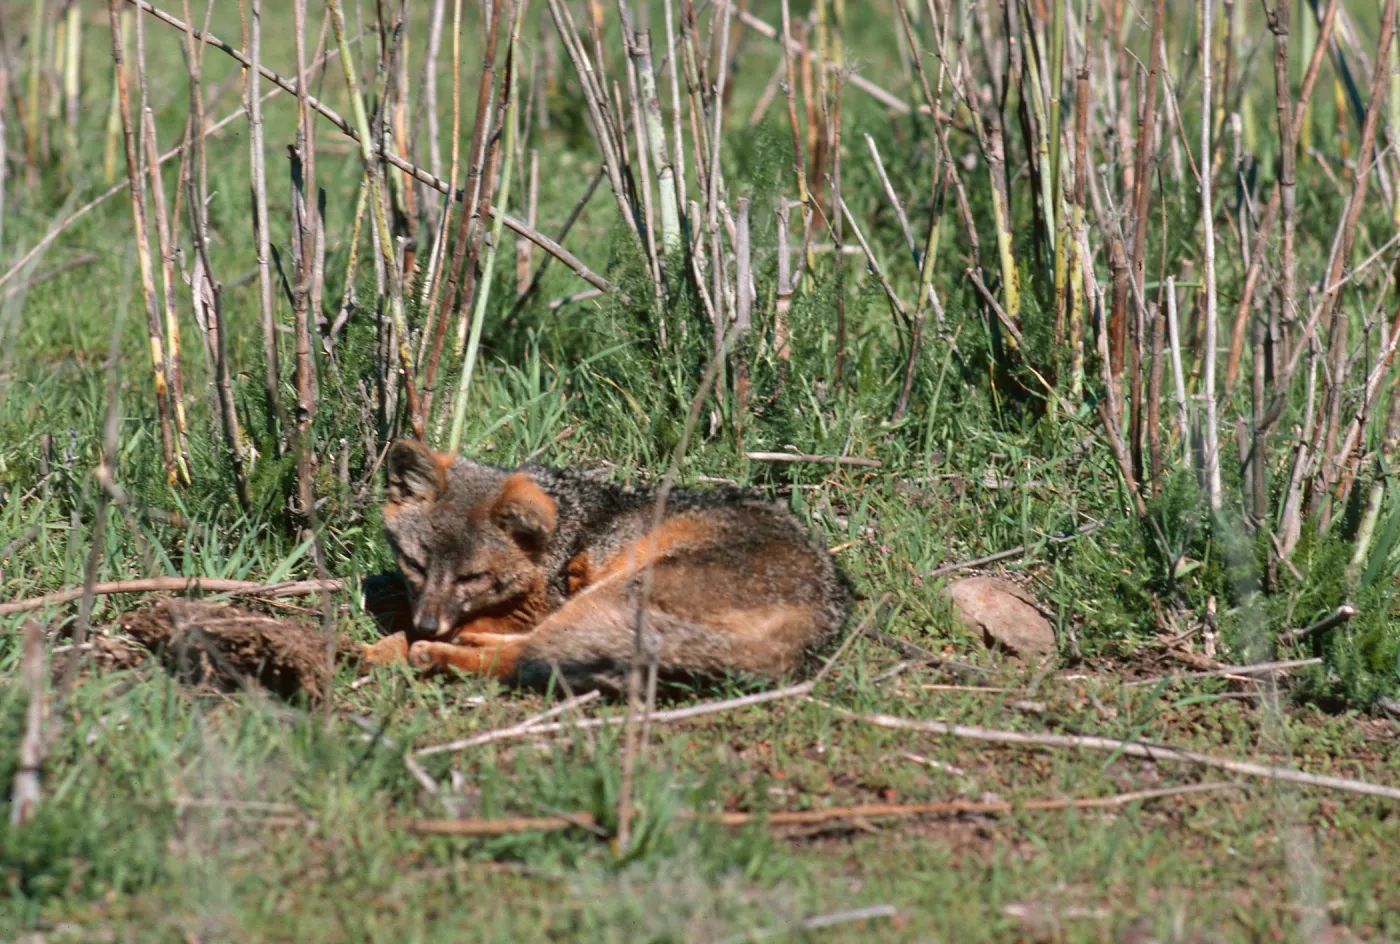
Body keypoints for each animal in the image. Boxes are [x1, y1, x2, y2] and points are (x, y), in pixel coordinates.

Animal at [358, 438, 853, 691]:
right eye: (415, 565)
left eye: (472, 577)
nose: (428, 624)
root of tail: (823, 616)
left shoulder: (539, 604)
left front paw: (385, 647)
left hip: (612, 591)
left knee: (531, 654)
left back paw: (437, 652)